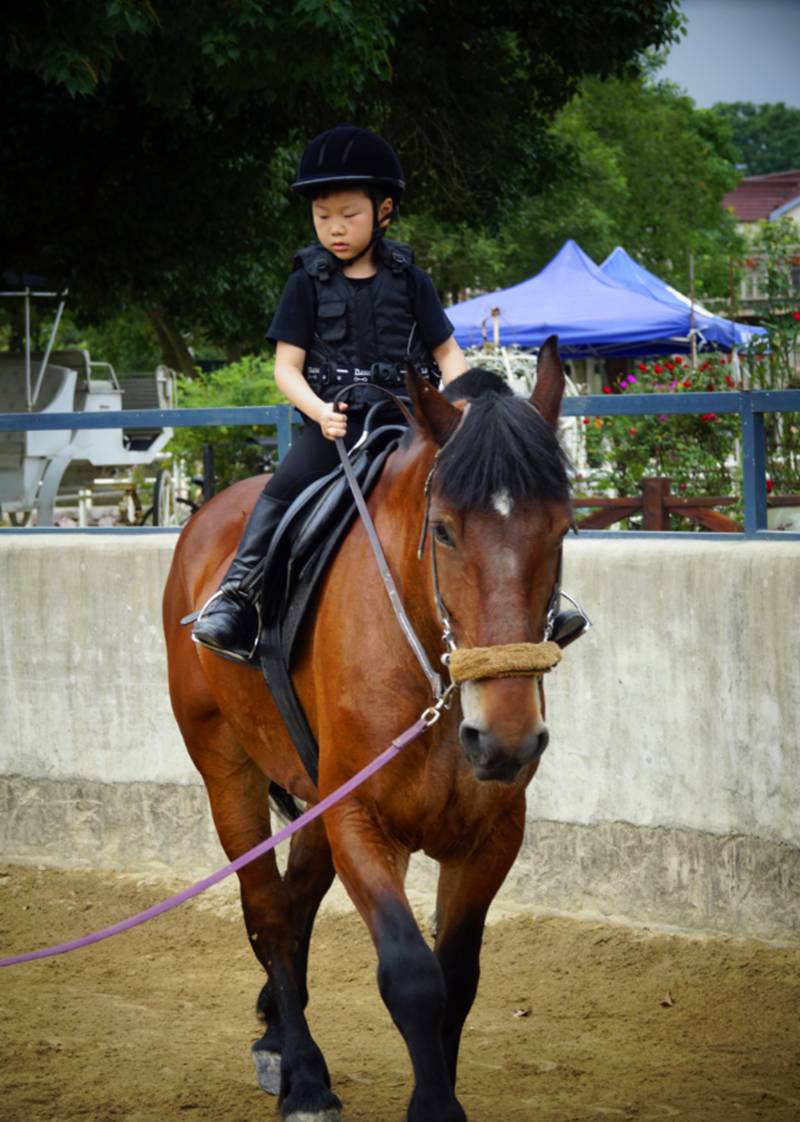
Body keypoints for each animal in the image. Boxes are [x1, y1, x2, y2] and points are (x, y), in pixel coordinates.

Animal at [162, 341, 569, 1122]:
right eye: (443, 529)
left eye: (563, 529)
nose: (505, 740)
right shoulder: (359, 817)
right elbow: (411, 976)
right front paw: (430, 1106)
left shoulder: (493, 832)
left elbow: (458, 977)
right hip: (226, 765)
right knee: (269, 908)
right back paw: (304, 1074)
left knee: (296, 898)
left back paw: (274, 1034)